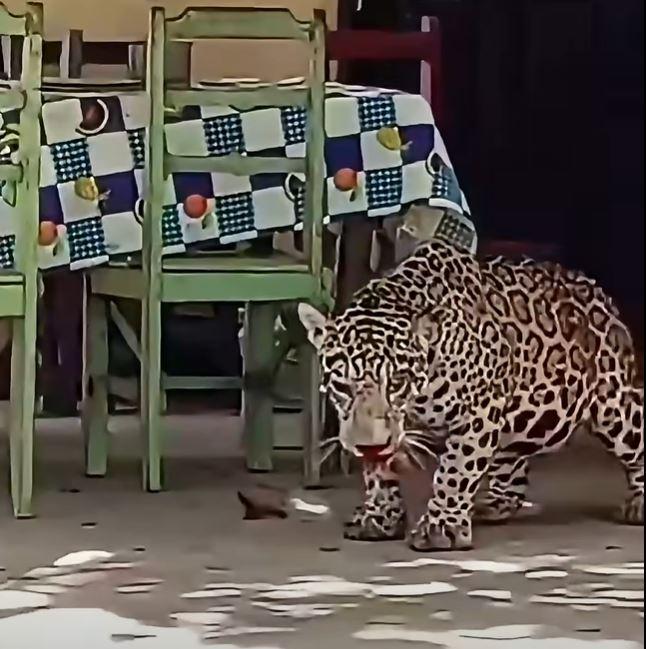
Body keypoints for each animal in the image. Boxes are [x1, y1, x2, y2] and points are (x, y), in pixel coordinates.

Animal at [298, 238, 644, 552]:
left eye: (397, 382)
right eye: (342, 386)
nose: (370, 446)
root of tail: (595, 289)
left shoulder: (479, 411)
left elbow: (456, 469)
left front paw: (441, 528)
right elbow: (378, 473)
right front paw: (380, 518)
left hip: (616, 408)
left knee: (636, 443)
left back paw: (639, 504)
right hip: (521, 421)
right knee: (513, 460)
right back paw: (495, 503)